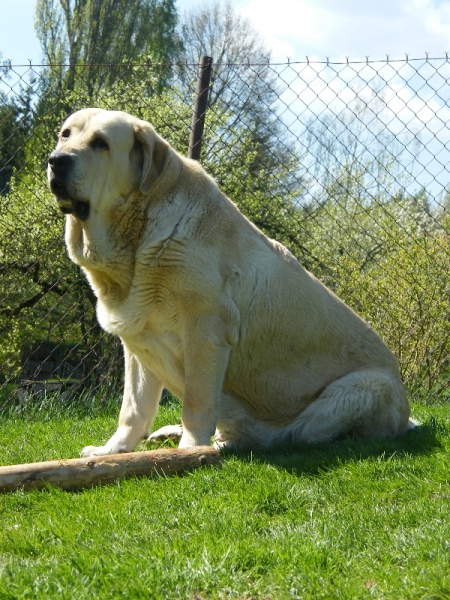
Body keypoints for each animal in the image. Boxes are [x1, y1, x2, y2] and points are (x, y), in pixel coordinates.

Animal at [47, 108, 414, 454]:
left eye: (101, 143)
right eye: (65, 135)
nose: (56, 161)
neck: (137, 237)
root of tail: (406, 417)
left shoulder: (206, 331)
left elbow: (197, 400)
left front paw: (192, 449)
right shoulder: (138, 342)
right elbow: (133, 408)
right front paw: (113, 450)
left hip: (363, 387)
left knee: (295, 434)